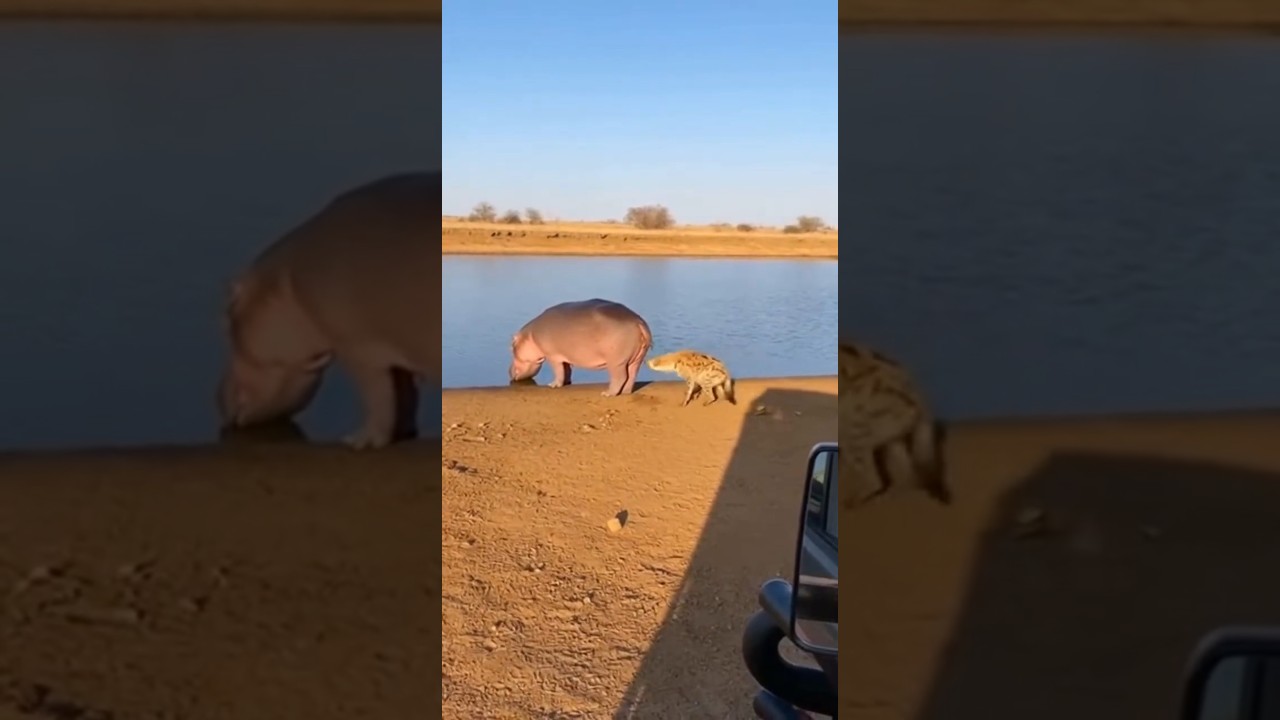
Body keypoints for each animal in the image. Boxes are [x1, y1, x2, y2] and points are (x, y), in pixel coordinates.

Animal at [217, 171, 441, 450]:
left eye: (226, 315)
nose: (216, 397)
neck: (286, 281)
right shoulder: (394, 349)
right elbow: (405, 393)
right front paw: (404, 433)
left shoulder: (358, 348)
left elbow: (377, 397)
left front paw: (358, 442)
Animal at [509, 299, 652, 396]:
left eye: (511, 347)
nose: (509, 371)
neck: (530, 336)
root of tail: (638, 322)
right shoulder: (564, 356)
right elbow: (567, 370)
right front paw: (566, 383)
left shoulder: (552, 356)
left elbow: (558, 371)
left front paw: (553, 385)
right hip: (636, 360)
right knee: (631, 376)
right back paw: (625, 393)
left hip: (616, 362)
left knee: (620, 377)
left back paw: (607, 393)